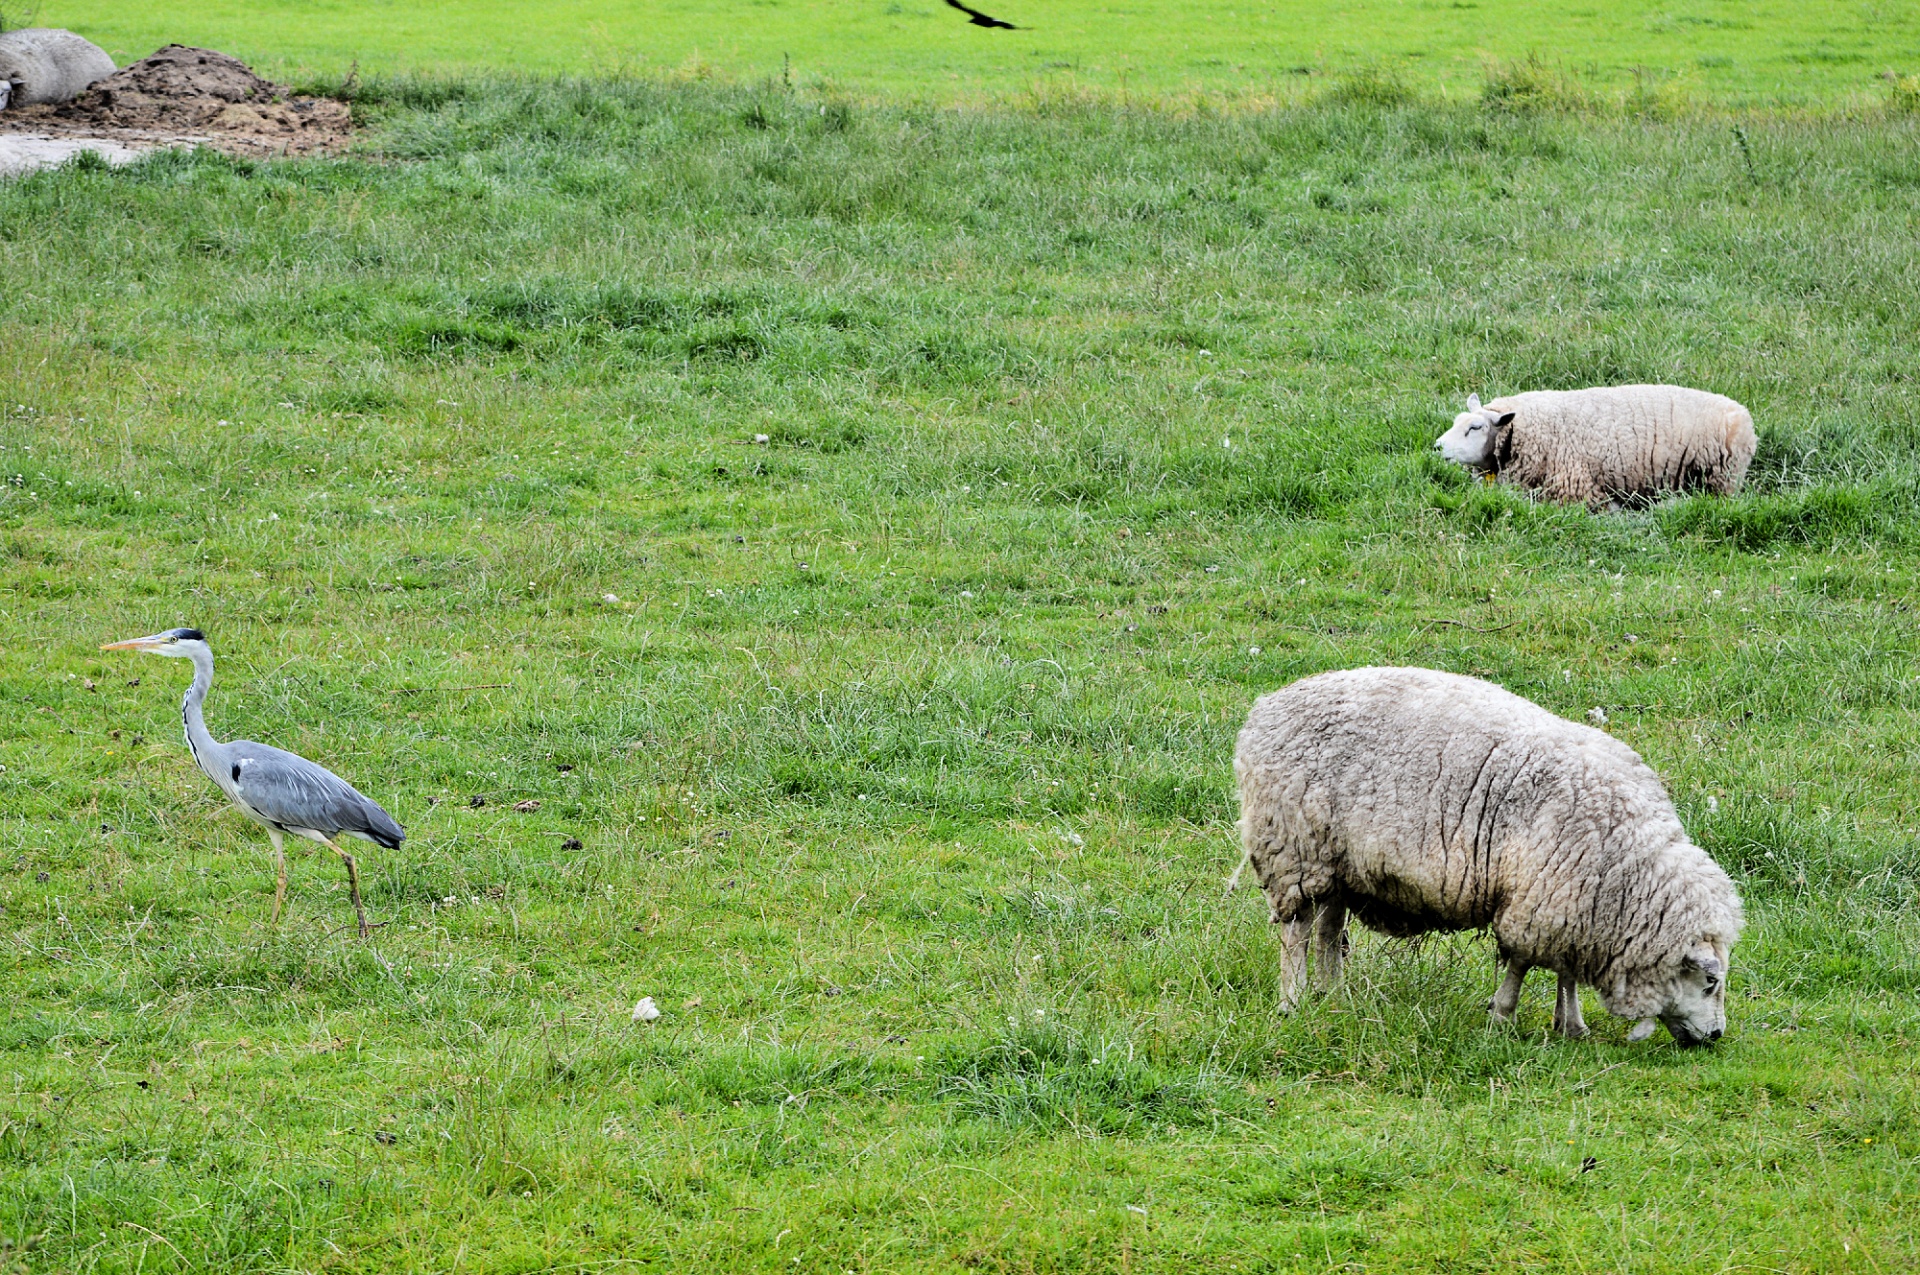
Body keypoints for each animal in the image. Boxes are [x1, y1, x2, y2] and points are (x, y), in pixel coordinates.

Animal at [1236, 668, 1751, 1044]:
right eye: (1710, 982)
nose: (1716, 1036)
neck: (1628, 863)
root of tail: (1264, 710)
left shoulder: (1570, 906)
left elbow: (1565, 971)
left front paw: (1571, 1026)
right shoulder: (1540, 897)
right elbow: (1521, 962)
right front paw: (1502, 1015)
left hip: (1338, 863)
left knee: (1327, 931)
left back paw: (1335, 995)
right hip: (1293, 850)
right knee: (1296, 933)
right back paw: (1292, 1000)